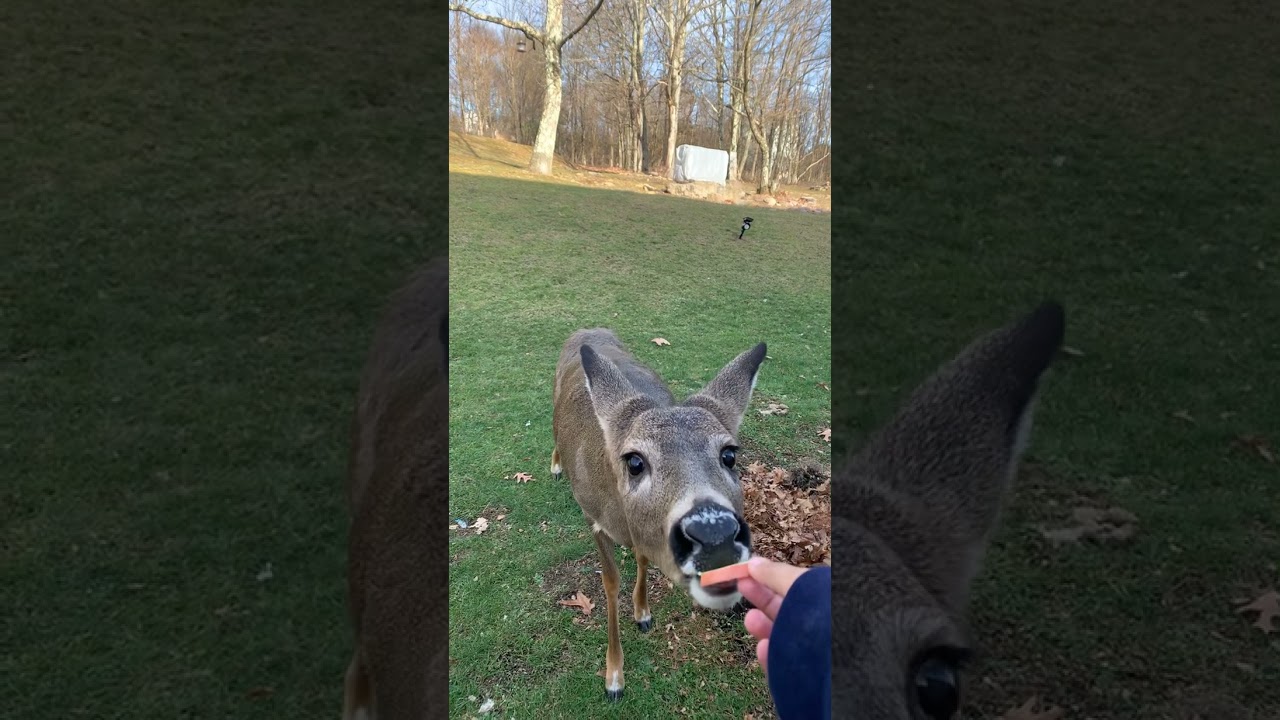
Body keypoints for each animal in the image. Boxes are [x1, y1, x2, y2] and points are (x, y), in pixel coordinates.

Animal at [551, 328, 767, 701]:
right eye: (635, 461)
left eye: (729, 455)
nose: (714, 533)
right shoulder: (592, 517)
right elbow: (610, 581)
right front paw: (614, 677)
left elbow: (642, 558)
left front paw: (643, 613)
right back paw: (555, 464)